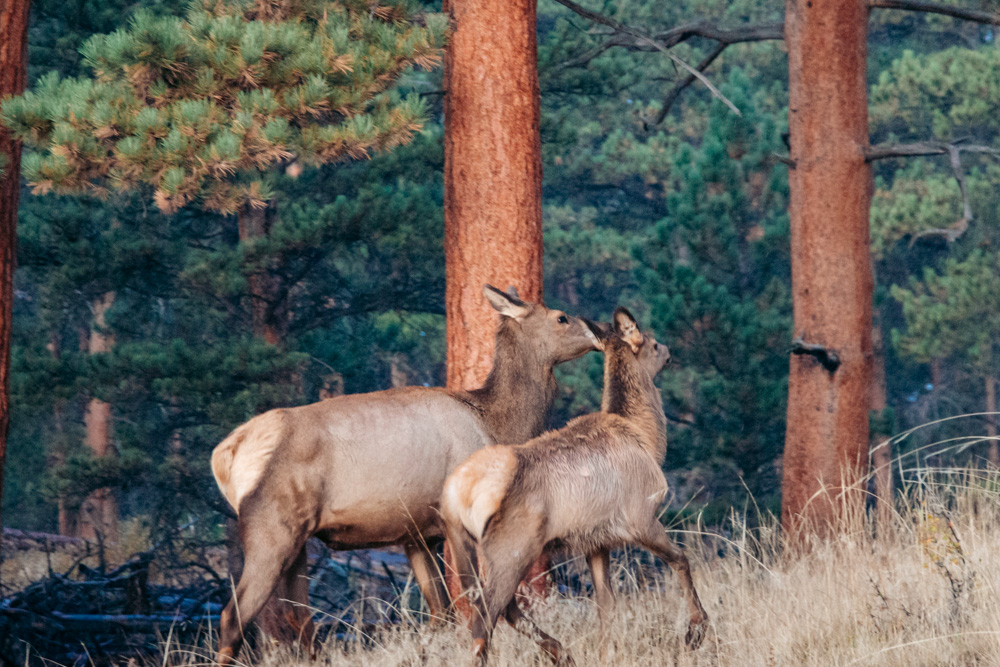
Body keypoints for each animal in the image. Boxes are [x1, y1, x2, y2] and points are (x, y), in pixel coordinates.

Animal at [210, 284, 596, 664]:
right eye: (561, 317)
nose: (599, 329)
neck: (496, 425)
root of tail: (224, 457)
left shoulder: (417, 536)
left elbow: (441, 613)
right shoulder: (454, 520)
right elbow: (485, 598)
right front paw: (557, 651)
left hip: (298, 539)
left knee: (300, 617)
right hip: (271, 530)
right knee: (234, 616)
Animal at [442, 310, 708, 664]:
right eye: (653, 343)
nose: (668, 351)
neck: (647, 439)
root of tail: (457, 494)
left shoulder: (596, 540)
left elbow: (605, 604)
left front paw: (608, 654)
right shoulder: (640, 515)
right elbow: (681, 558)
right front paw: (695, 632)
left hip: (463, 545)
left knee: (502, 609)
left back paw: (562, 652)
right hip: (512, 548)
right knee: (485, 616)